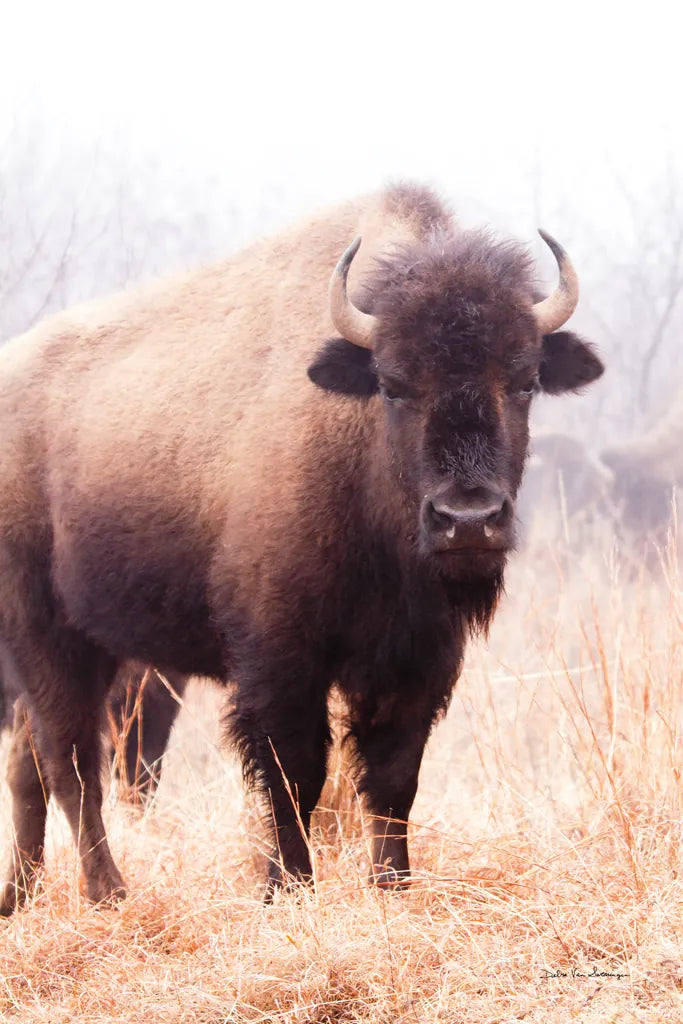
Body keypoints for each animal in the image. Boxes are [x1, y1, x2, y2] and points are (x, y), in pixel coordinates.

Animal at [0, 184, 603, 914]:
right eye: (393, 384)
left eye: (523, 381)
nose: (467, 519)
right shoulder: (279, 656)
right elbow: (294, 773)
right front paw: (287, 886)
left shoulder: (417, 658)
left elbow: (393, 776)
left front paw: (392, 885)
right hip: (46, 636)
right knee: (71, 763)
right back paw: (107, 893)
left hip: (96, 645)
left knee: (32, 766)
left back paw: (20, 897)